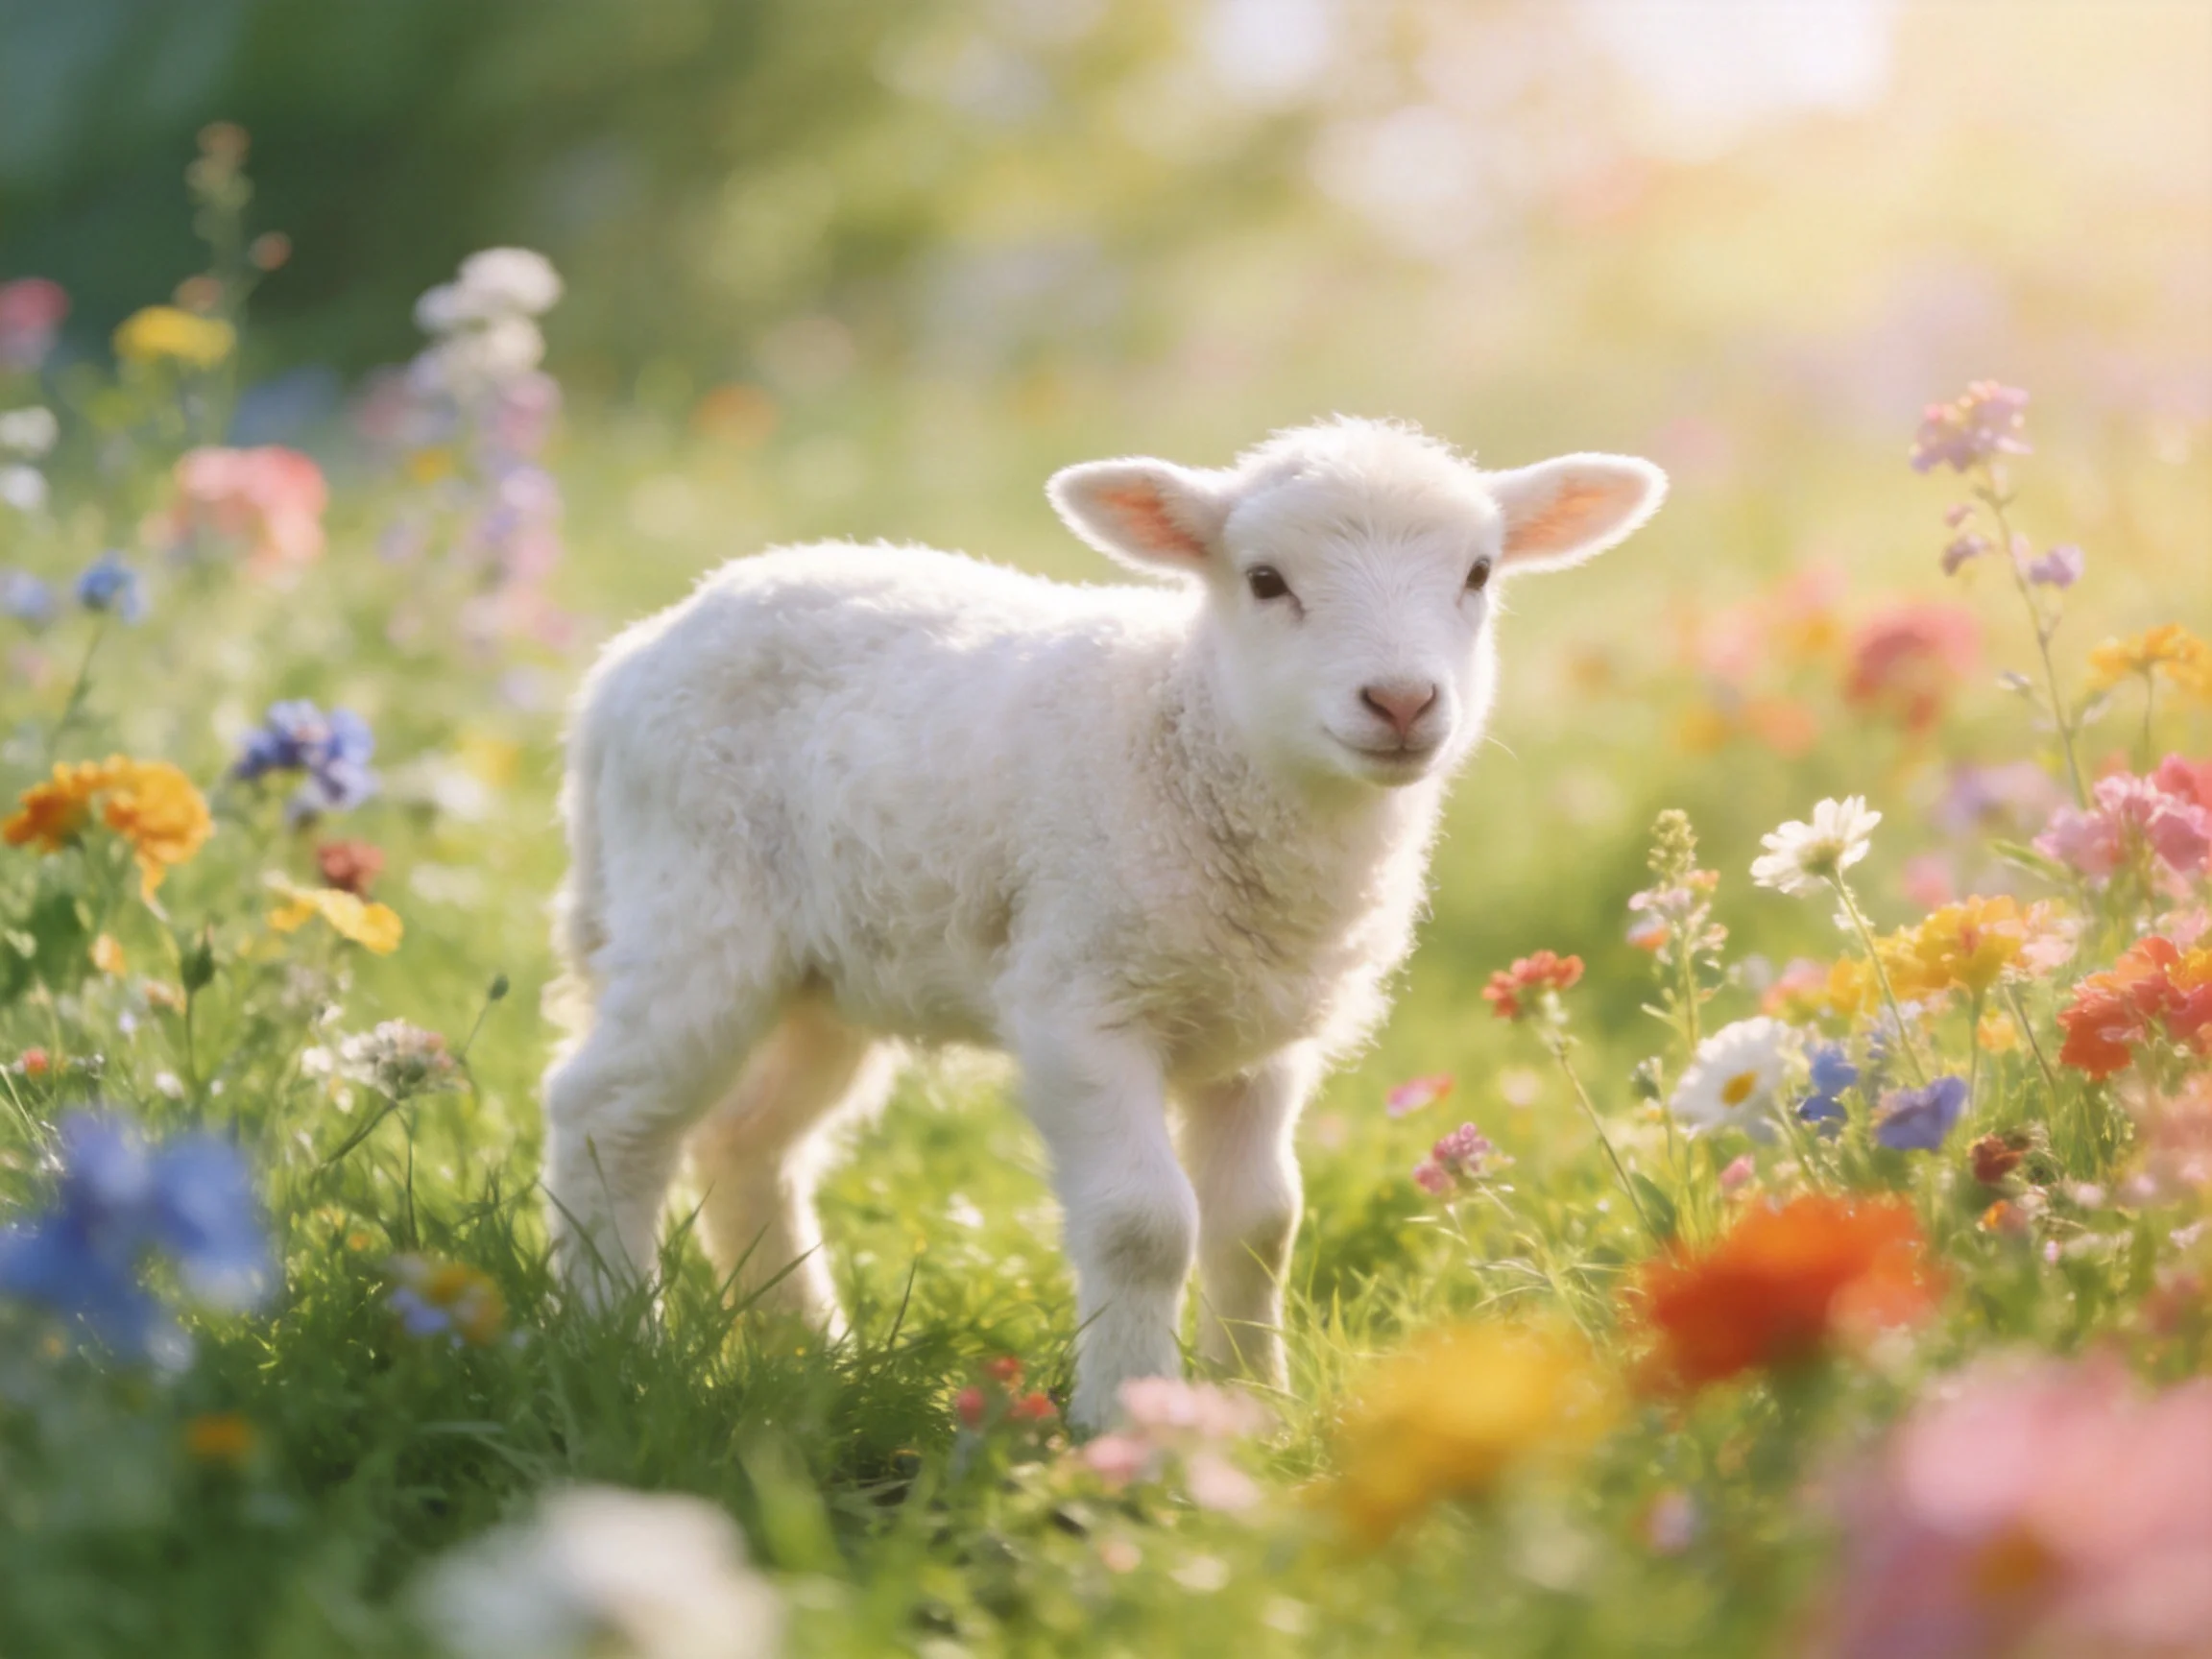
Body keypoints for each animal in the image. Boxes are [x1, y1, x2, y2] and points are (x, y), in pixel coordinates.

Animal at [540, 416, 1665, 1427]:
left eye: (1478, 573)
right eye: (1265, 580)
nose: (1400, 701)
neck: (1190, 734)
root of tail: (631, 657)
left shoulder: (1261, 1036)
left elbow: (1261, 1224)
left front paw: (1257, 1408)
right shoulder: (1081, 1001)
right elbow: (1142, 1225)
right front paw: (1130, 1422)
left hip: (827, 979)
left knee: (746, 1146)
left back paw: (808, 1355)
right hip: (695, 915)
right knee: (604, 1115)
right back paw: (616, 1345)